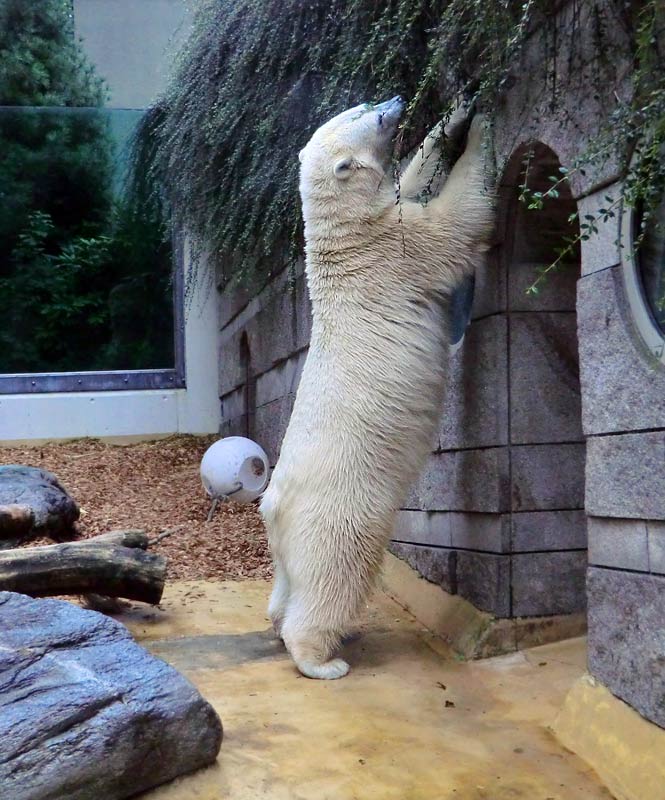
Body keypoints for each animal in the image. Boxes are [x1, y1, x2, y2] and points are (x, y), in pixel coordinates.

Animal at [260, 97, 492, 680]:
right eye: (364, 114)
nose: (393, 101)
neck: (345, 239)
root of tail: (272, 507)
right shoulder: (398, 252)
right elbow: (455, 222)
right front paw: (480, 127)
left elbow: (412, 183)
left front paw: (452, 119)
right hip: (342, 510)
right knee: (338, 572)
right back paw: (323, 660)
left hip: (288, 539)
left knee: (288, 584)